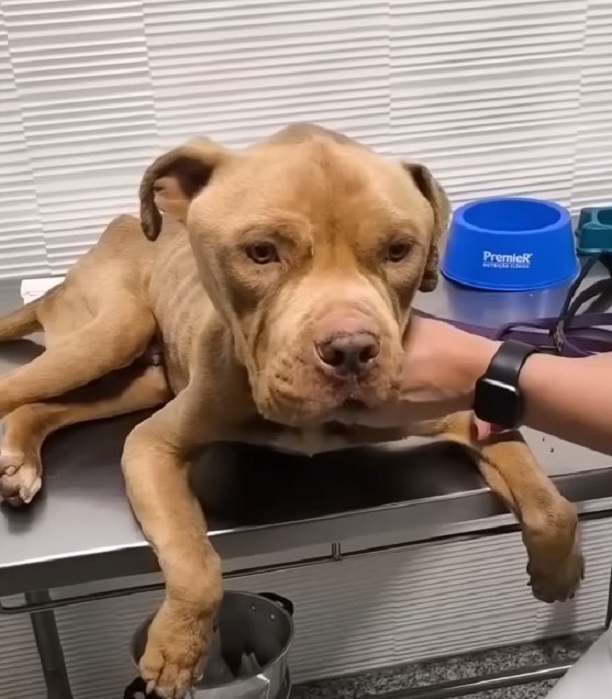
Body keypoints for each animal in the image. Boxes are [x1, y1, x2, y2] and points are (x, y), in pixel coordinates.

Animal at [0, 126, 584, 699]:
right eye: (261, 252)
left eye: (399, 250)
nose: (351, 349)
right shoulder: (152, 446)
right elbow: (195, 560)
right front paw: (177, 649)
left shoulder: (468, 413)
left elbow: (549, 502)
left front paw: (557, 571)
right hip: (112, 333)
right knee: (17, 389)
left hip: (139, 379)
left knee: (45, 408)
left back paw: (19, 459)